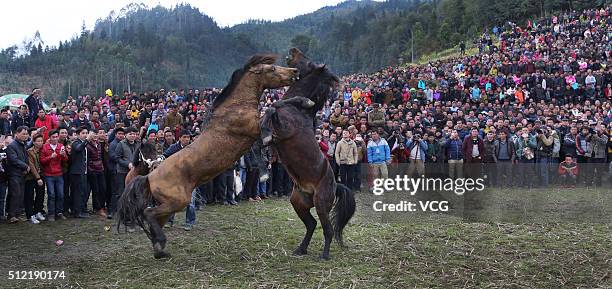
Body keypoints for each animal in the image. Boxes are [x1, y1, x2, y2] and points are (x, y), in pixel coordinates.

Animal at [117, 54, 298, 258]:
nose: (295, 72)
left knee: (155, 219)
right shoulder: (253, 129)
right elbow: (271, 112)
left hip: (170, 203)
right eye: (272, 69)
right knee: (149, 213)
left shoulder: (251, 139)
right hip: (178, 200)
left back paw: (159, 250)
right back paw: (160, 243)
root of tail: (149, 176)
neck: (236, 106)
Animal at [260, 48, 356, 260]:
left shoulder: (285, 130)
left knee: (327, 229)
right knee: (312, 224)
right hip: (298, 202)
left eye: (309, 62)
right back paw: (300, 249)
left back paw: (324, 255)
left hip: (320, 203)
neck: (297, 110)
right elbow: (271, 109)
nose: (293, 50)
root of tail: (336, 186)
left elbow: (272, 108)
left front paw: (266, 134)